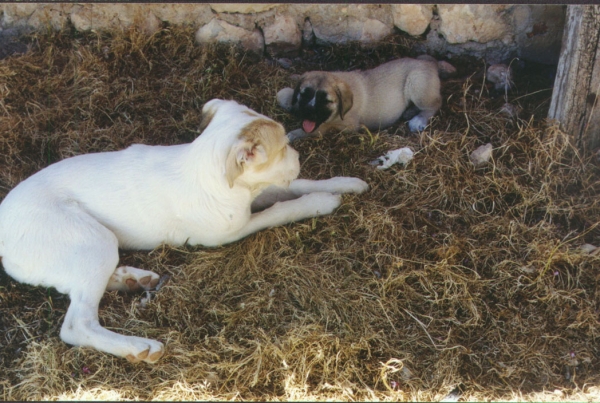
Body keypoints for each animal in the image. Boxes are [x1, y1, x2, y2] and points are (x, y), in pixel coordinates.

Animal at [0, 99, 368, 364]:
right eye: (282, 149)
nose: (299, 153)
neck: (210, 172)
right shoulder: (232, 229)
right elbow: (281, 209)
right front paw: (321, 202)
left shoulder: (254, 194)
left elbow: (296, 186)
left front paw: (346, 182)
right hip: (91, 239)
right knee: (78, 323)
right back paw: (138, 346)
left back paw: (132, 279)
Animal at [278, 55, 448, 140]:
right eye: (304, 94)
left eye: (325, 101)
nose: (307, 113)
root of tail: (429, 64)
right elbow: (286, 95)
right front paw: (287, 98)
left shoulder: (349, 125)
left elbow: (321, 128)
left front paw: (291, 135)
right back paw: (409, 112)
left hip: (416, 82)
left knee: (435, 104)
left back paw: (418, 120)